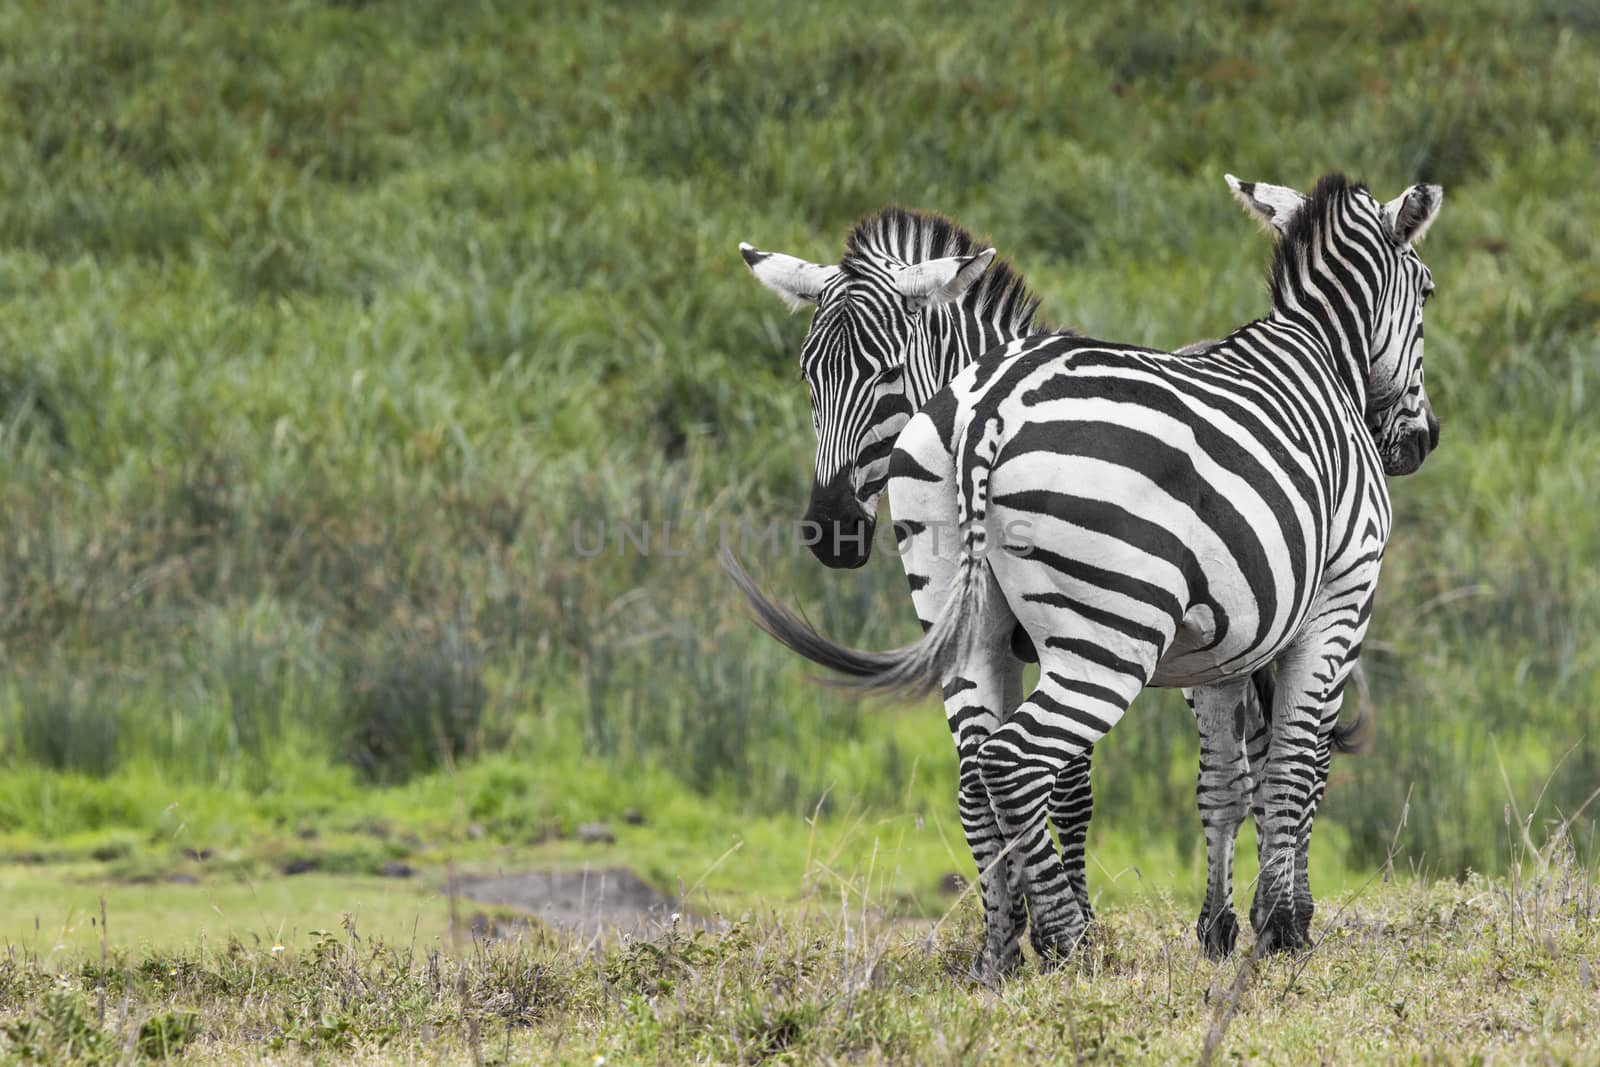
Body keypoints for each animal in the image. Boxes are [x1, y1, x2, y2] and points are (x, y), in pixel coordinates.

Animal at [732, 171, 1446, 972]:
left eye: (881, 373)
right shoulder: (1340, 597)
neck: (1319, 351)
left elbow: (1192, 780)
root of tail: (988, 408)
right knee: (1019, 761)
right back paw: (1068, 942)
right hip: (1116, 634)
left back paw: (1003, 952)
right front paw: (1280, 930)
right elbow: (1288, 765)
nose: (831, 531)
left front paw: (1230, 925)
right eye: (1428, 289)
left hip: (996, 624)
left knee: (981, 771)